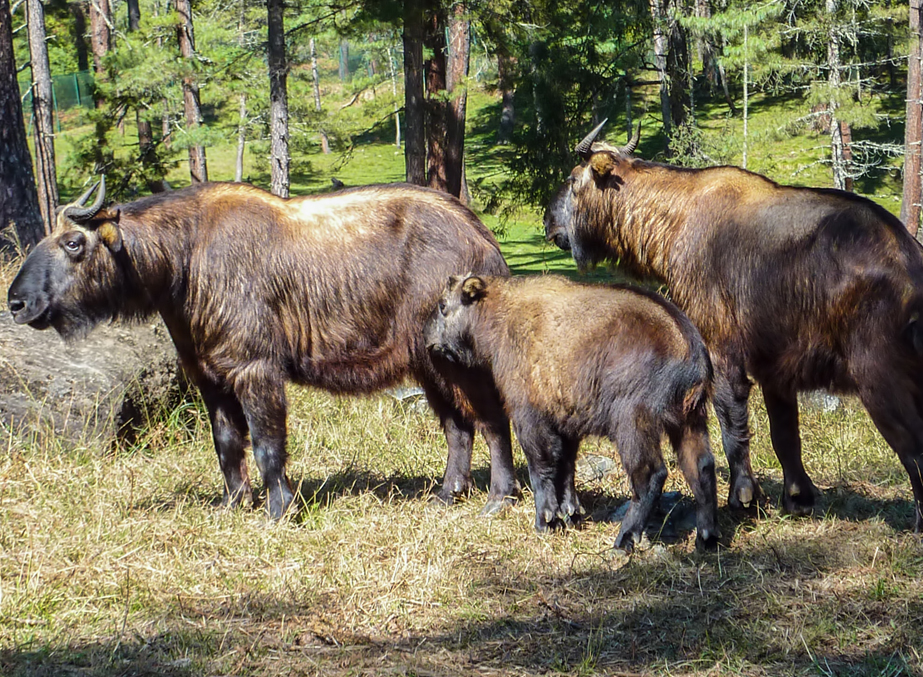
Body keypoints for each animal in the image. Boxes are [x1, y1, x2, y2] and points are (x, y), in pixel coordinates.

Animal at [7, 177, 520, 516]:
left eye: (73, 242)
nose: (16, 302)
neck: (186, 259)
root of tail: (485, 240)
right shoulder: (211, 378)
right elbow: (227, 446)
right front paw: (234, 505)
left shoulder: (256, 369)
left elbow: (268, 445)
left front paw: (280, 509)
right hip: (428, 364)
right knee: (458, 427)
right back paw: (447, 494)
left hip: (459, 363)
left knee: (493, 421)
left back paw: (499, 497)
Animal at [426, 272, 720, 552]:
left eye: (443, 305)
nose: (427, 338)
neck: (502, 315)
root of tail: (692, 350)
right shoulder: (567, 423)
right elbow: (565, 468)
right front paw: (570, 514)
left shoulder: (529, 418)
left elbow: (541, 467)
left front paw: (546, 521)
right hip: (689, 423)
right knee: (702, 467)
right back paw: (706, 537)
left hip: (632, 424)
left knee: (650, 476)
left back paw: (624, 539)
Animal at [544, 123, 923, 532]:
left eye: (572, 179)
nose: (547, 221)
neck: (675, 220)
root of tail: (911, 262)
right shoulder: (776, 371)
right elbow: (784, 436)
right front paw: (798, 498)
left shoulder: (720, 350)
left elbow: (731, 426)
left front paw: (742, 496)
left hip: (880, 378)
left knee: (913, 449)